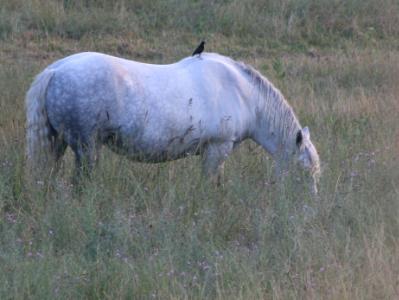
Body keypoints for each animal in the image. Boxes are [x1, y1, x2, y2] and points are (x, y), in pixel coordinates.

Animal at [25, 51, 322, 192]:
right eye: (303, 170)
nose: (308, 206)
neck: (243, 93)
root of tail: (55, 71)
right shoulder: (217, 149)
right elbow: (210, 184)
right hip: (86, 147)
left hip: (60, 143)